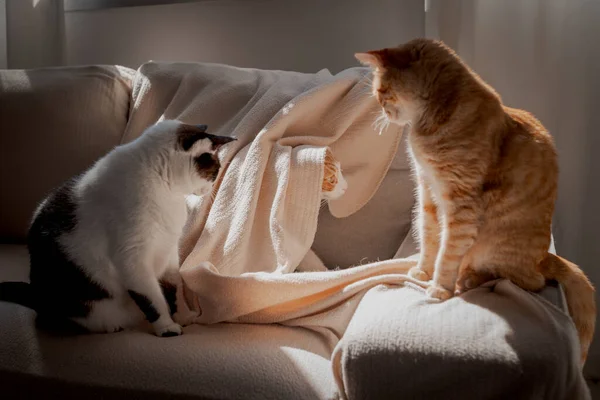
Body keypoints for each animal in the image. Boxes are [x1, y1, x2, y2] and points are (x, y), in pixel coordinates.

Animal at [0, 120, 234, 336]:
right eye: (215, 171)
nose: (212, 187)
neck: (167, 193)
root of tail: (35, 294)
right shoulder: (133, 259)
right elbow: (154, 299)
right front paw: (167, 328)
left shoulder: (169, 251)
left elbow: (175, 288)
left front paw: (184, 316)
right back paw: (110, 326)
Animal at [356, 38, 596, 366]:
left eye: (381, 91)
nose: (382, 110)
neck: (430, 123)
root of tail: (544, 257)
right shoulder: (428, 192)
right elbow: (430, 238)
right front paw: (423, 270)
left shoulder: (461, 206)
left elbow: (447, 252)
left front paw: (439, 287)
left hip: (497, 246)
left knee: (526, 281)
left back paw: (469, 280)